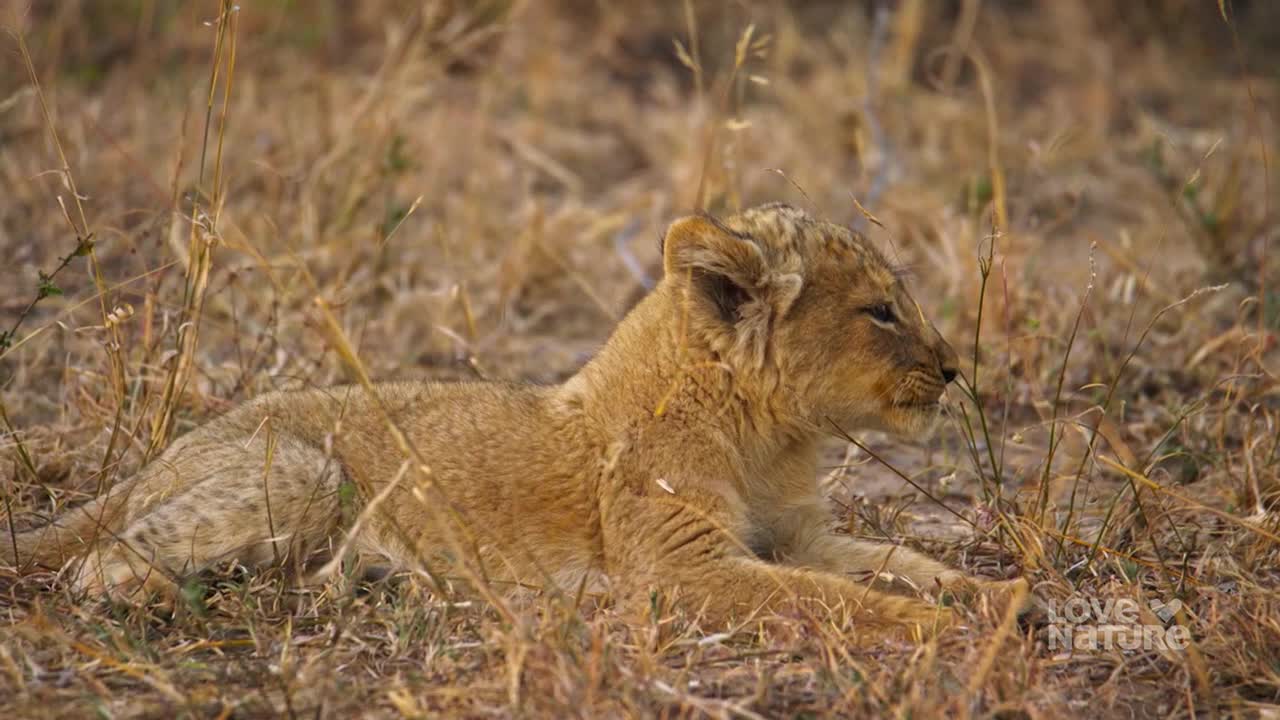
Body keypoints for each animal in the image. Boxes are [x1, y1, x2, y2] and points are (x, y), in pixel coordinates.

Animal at [5, 203, 1024, 639]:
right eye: (880, 311)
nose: (953, 367)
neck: (770, 435)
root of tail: (167, 451)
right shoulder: (678, 566)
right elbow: (828, 597)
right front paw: (937, 630)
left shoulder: (796, 534)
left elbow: (898, 560)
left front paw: (1002, 598)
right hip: (302, 472)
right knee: (98, 566)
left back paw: (381, 582)